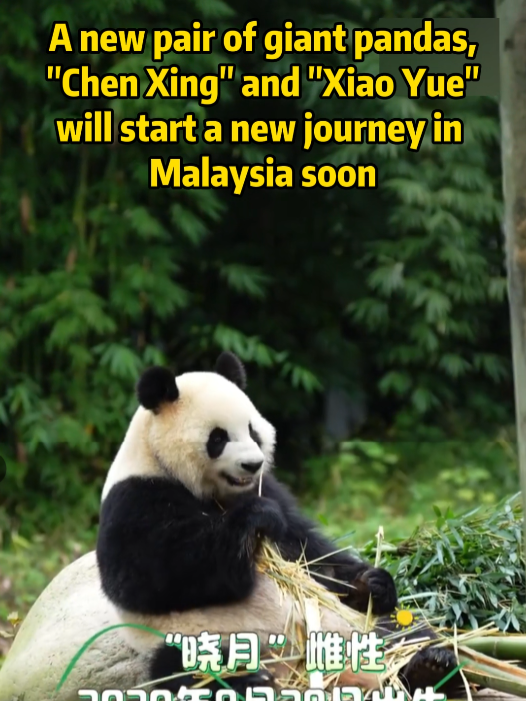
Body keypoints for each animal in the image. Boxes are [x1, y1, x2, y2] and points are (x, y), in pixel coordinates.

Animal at [96, 351, 462, 698]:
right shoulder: (135, 499)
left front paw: (370, 582)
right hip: (194, 638)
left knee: (405, 629)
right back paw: (249, 680)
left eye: (252, 431)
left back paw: (430, 667)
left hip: (358, 626)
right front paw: (257, 517)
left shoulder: (270, 489)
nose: (252, 464)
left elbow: (311, 555)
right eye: (218, 438)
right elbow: (156, 575)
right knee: (189, 670)